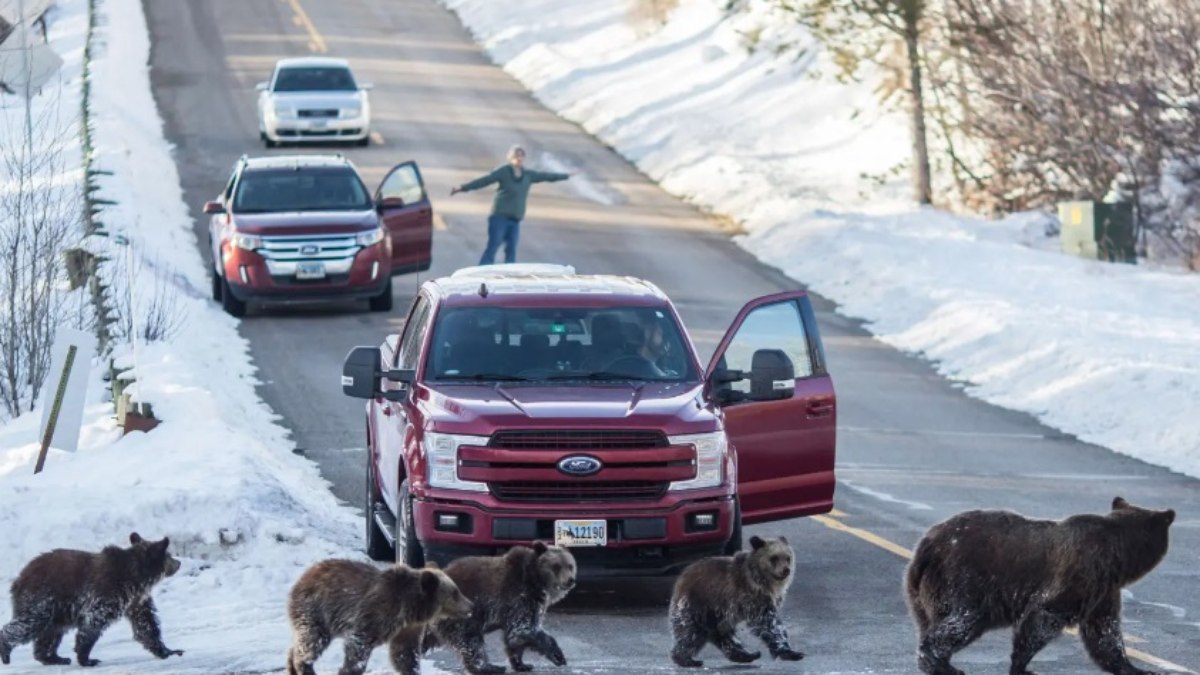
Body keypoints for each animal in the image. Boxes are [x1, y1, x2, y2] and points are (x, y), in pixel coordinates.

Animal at [0, 530, 182, 667]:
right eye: (169, 555)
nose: (179, 562)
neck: (136, 577)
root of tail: (19, 578)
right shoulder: (109, 592)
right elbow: (94, 621)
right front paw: (86, 658)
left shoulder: (135, 600)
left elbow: (146, 625)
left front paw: (169, 650)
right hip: (42, 598)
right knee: (28, 624)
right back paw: (6, 650)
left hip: (57, 611)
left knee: (51, 632)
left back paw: (54, 658)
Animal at [286, 557, 472, 672]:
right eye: (455, 593)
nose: (470, 605)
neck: (409, 608)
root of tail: (303, 576)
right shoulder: (375, 613)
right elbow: (359, 645)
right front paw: (350, 669)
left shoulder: (408, 629)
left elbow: (404, 654)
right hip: (316, 610)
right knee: (312, 642)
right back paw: (304, 666)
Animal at [388, 540, 576, 672]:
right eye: (556, 566)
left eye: (570, 565)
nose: (570, 580)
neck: (536, 581)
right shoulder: (520, 597)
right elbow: (524, 629)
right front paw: (559, 655)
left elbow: (515, 637)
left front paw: (522, 664)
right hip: (463, 612)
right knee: (471, 641)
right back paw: (489, 667)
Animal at [667, 533, 806, 662]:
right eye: (774, 558)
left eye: (787, 558)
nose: (786, 570)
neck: (765, 582)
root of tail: (681, 577)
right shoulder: (752, 598)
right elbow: (768, 624)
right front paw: (788, 651)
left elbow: (775, 623)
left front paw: (792, 651)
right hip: (700, 604)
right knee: (691, 631)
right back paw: (685, 658)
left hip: (718, 615)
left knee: (722, 634)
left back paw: (747, 654)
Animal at [907, 494, 1171, 672]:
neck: (1119, 558)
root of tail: (927, 545)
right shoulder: (1082, 575)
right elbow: (1044, 617)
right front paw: (1021, 665)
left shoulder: (1103, 592)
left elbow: (1104, 633)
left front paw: (1133, 667)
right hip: (965, 579)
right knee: (962, 620)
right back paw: (941, 663)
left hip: (922, 591)